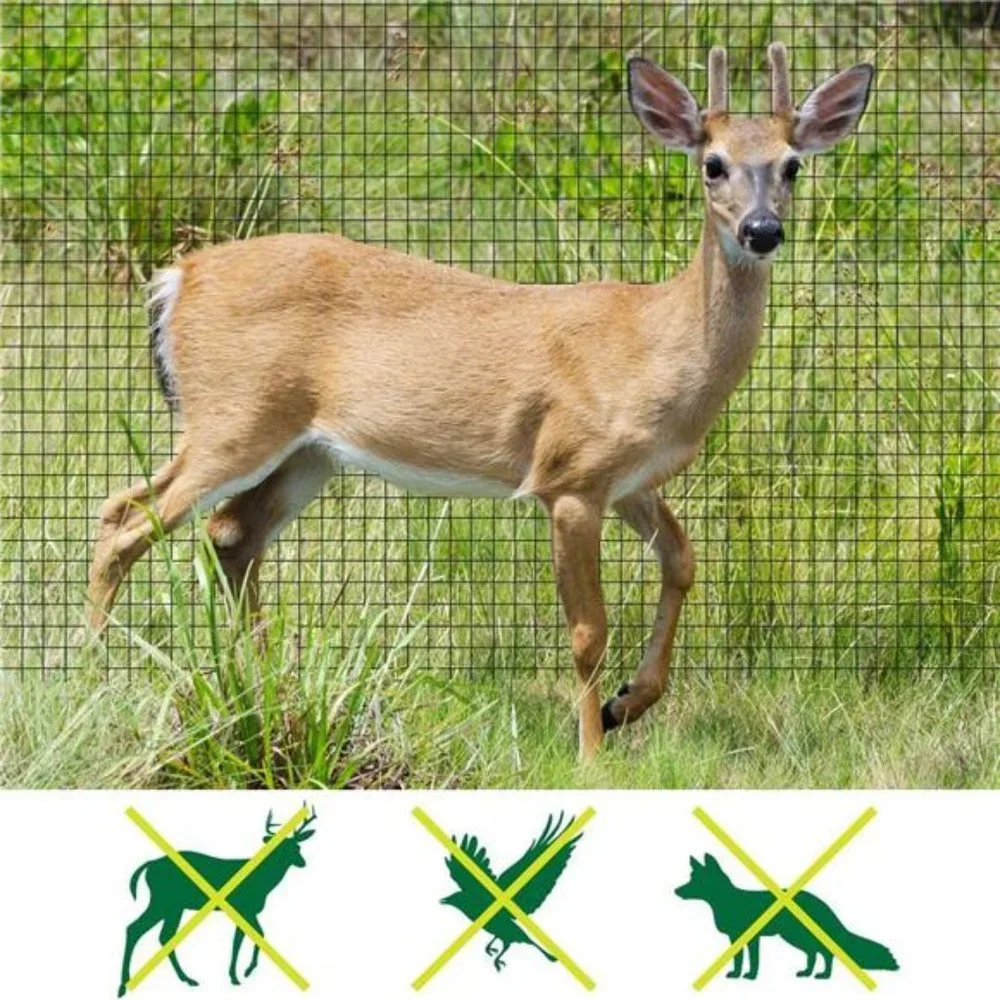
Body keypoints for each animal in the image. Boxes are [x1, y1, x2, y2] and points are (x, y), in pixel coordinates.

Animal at [87, 43, 872, 760]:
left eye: (792, 165)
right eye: (713, 163)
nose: (762, 230)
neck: (655, 345)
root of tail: (176, 279)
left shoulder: (628, 478)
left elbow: (683, 559)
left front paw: (627, 704)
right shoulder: (570, 477)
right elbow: (588, 631)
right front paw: (592, 752)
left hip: (307, 451)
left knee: (229, 534)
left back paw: (259, 683)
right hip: (233, 417)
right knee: (125, 517)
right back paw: (94, 676)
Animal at [117, 807, 316, 995]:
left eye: (298, 847)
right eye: (279, 847)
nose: (303, 862)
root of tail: (149, 865)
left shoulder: (247, 911)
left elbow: (256, 935)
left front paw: (242, 972)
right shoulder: (244, 908)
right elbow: (247, 939)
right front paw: (240, 974)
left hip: (174, 906)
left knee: (161, 935)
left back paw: (184, 979)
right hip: (163, 901)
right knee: (137, 929)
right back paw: (124, 985)